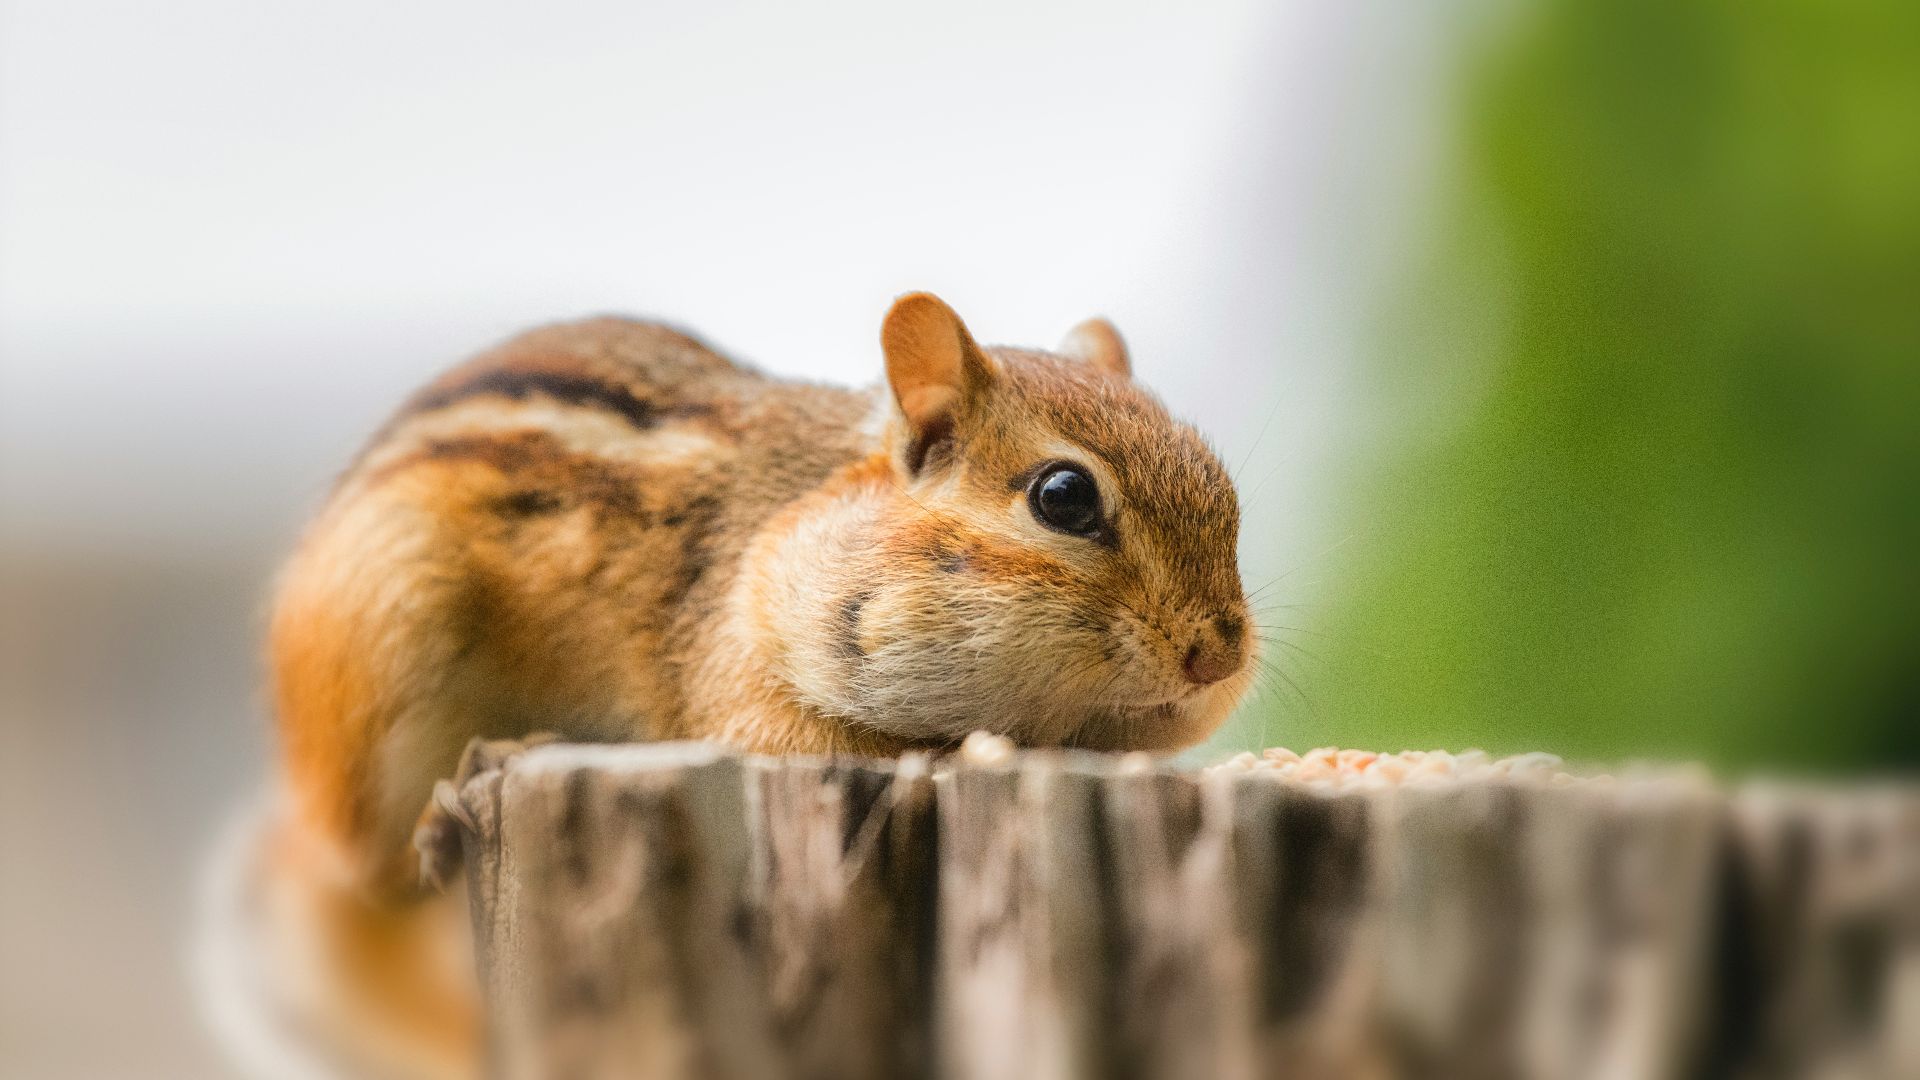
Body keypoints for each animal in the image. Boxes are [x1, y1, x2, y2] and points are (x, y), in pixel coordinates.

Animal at [202, 293, 1253, 1079]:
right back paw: (468, 783)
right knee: (370, 866)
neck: (788, 521)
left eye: (1227, 491)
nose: (1218, 656)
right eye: (1063, 497)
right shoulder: (740, 682)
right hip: (382, 657)